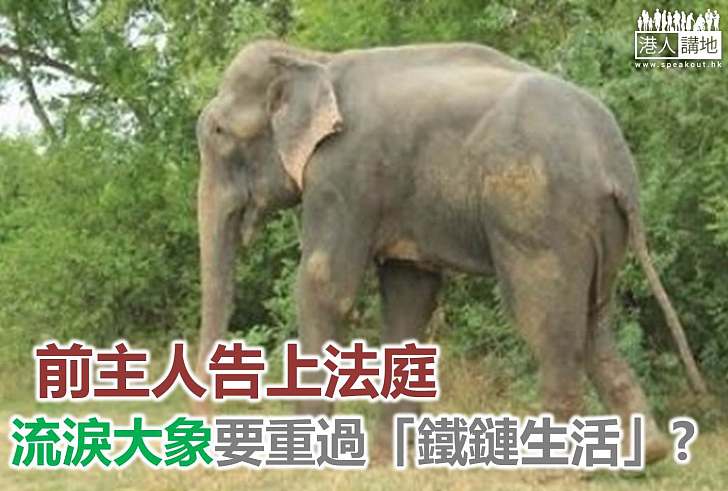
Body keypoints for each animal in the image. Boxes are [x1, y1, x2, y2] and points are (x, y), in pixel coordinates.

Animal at [195, 40, 707, 464]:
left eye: (218, 131)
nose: (203, 428)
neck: (315, 59)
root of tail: (614, 162)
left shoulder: (344, 174)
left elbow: (324, 285)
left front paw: (306, 463)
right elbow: (410, 296)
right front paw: (386, 463)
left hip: (540, 215)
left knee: (546, 323)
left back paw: (553, 471)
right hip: (599, 224)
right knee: (593, 321)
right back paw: (649, 452)